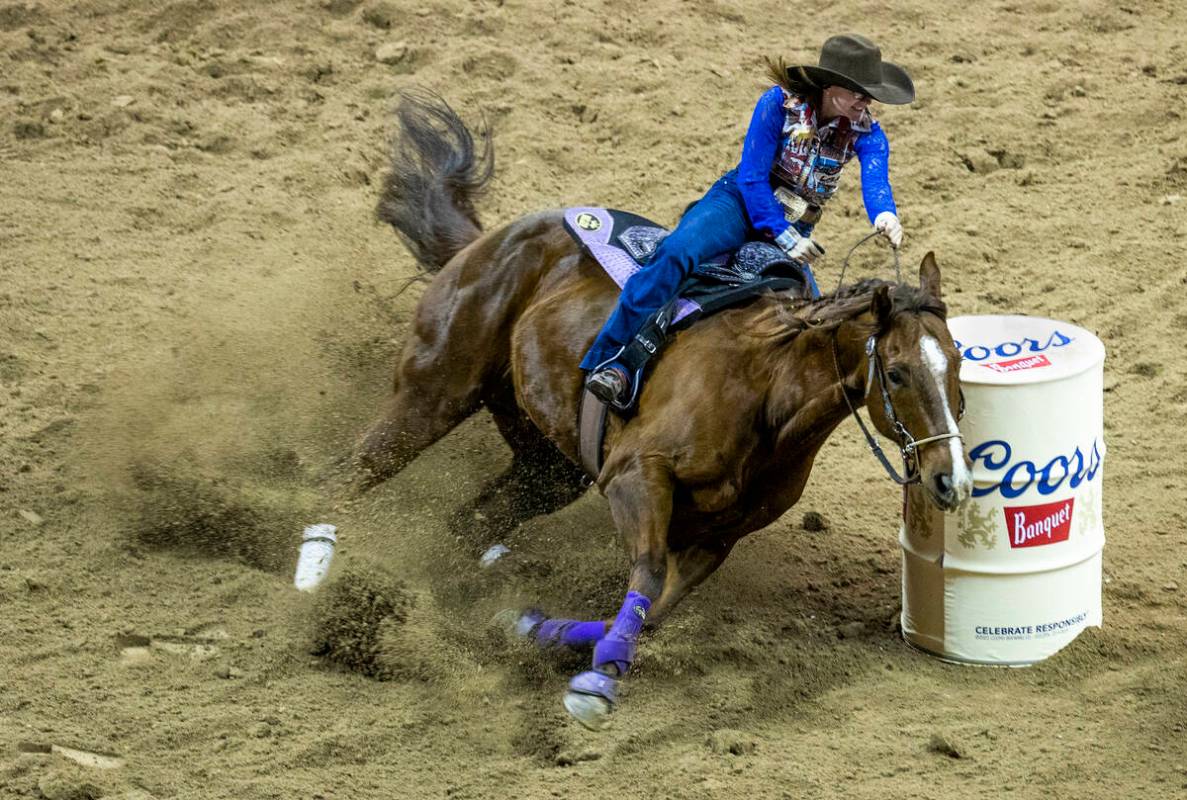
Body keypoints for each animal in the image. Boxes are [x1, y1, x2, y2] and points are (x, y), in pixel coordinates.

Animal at [356, 90, 968, 726]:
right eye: (895, 372)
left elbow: (657, 609)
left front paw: (537, 629)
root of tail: (493, 239)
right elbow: (647, 577)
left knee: (468, 522)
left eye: (957, 360)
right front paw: (595, 685)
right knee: (358, 469)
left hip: (542, 468)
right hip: (432, 394)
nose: (951, 481)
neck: (766, 387)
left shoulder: (714, 541)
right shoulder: (635, 475)